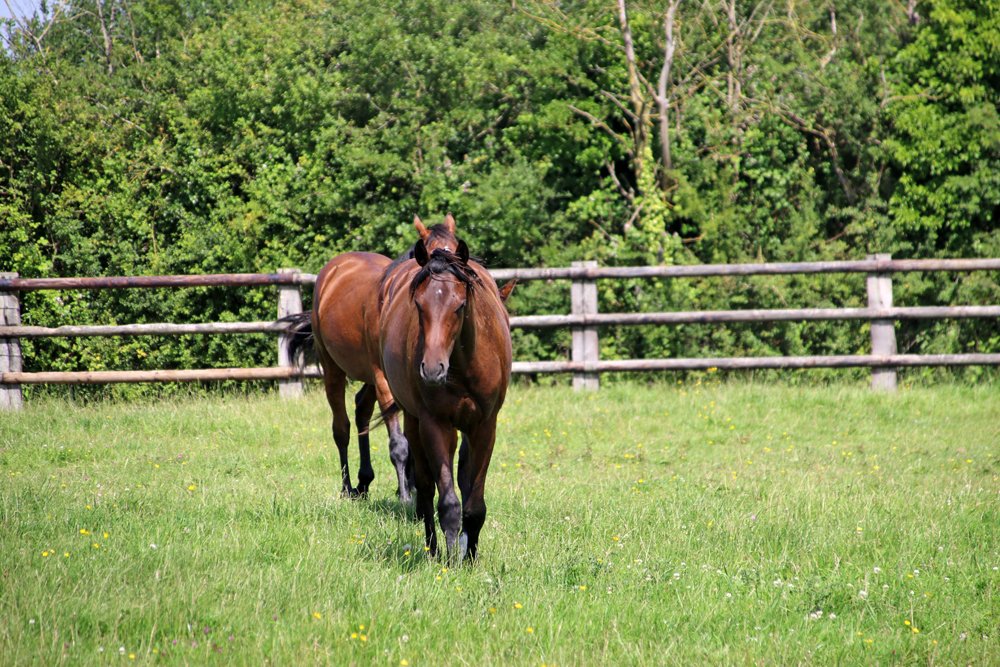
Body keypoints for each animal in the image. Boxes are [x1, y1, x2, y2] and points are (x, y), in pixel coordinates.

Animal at [285, 215, 462, 501]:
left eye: (457, 250)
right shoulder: (385, 380)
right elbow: (400, 443)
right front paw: (406, 494)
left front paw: (413, 486)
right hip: (334, 370)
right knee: (341, 428)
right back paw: (347, 486)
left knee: (361, 412)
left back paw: (364, 481)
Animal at [378, 222, 513, 561]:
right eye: (419, 305)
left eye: (459, 305)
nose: (432, 369)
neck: (463, 366)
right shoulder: (435, 424)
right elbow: (448, 502)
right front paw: (450, 559)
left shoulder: (484, 426)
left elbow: (474, 503)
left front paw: (470, 555)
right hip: (414, 421)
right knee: (426, 490)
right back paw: (432, 548)